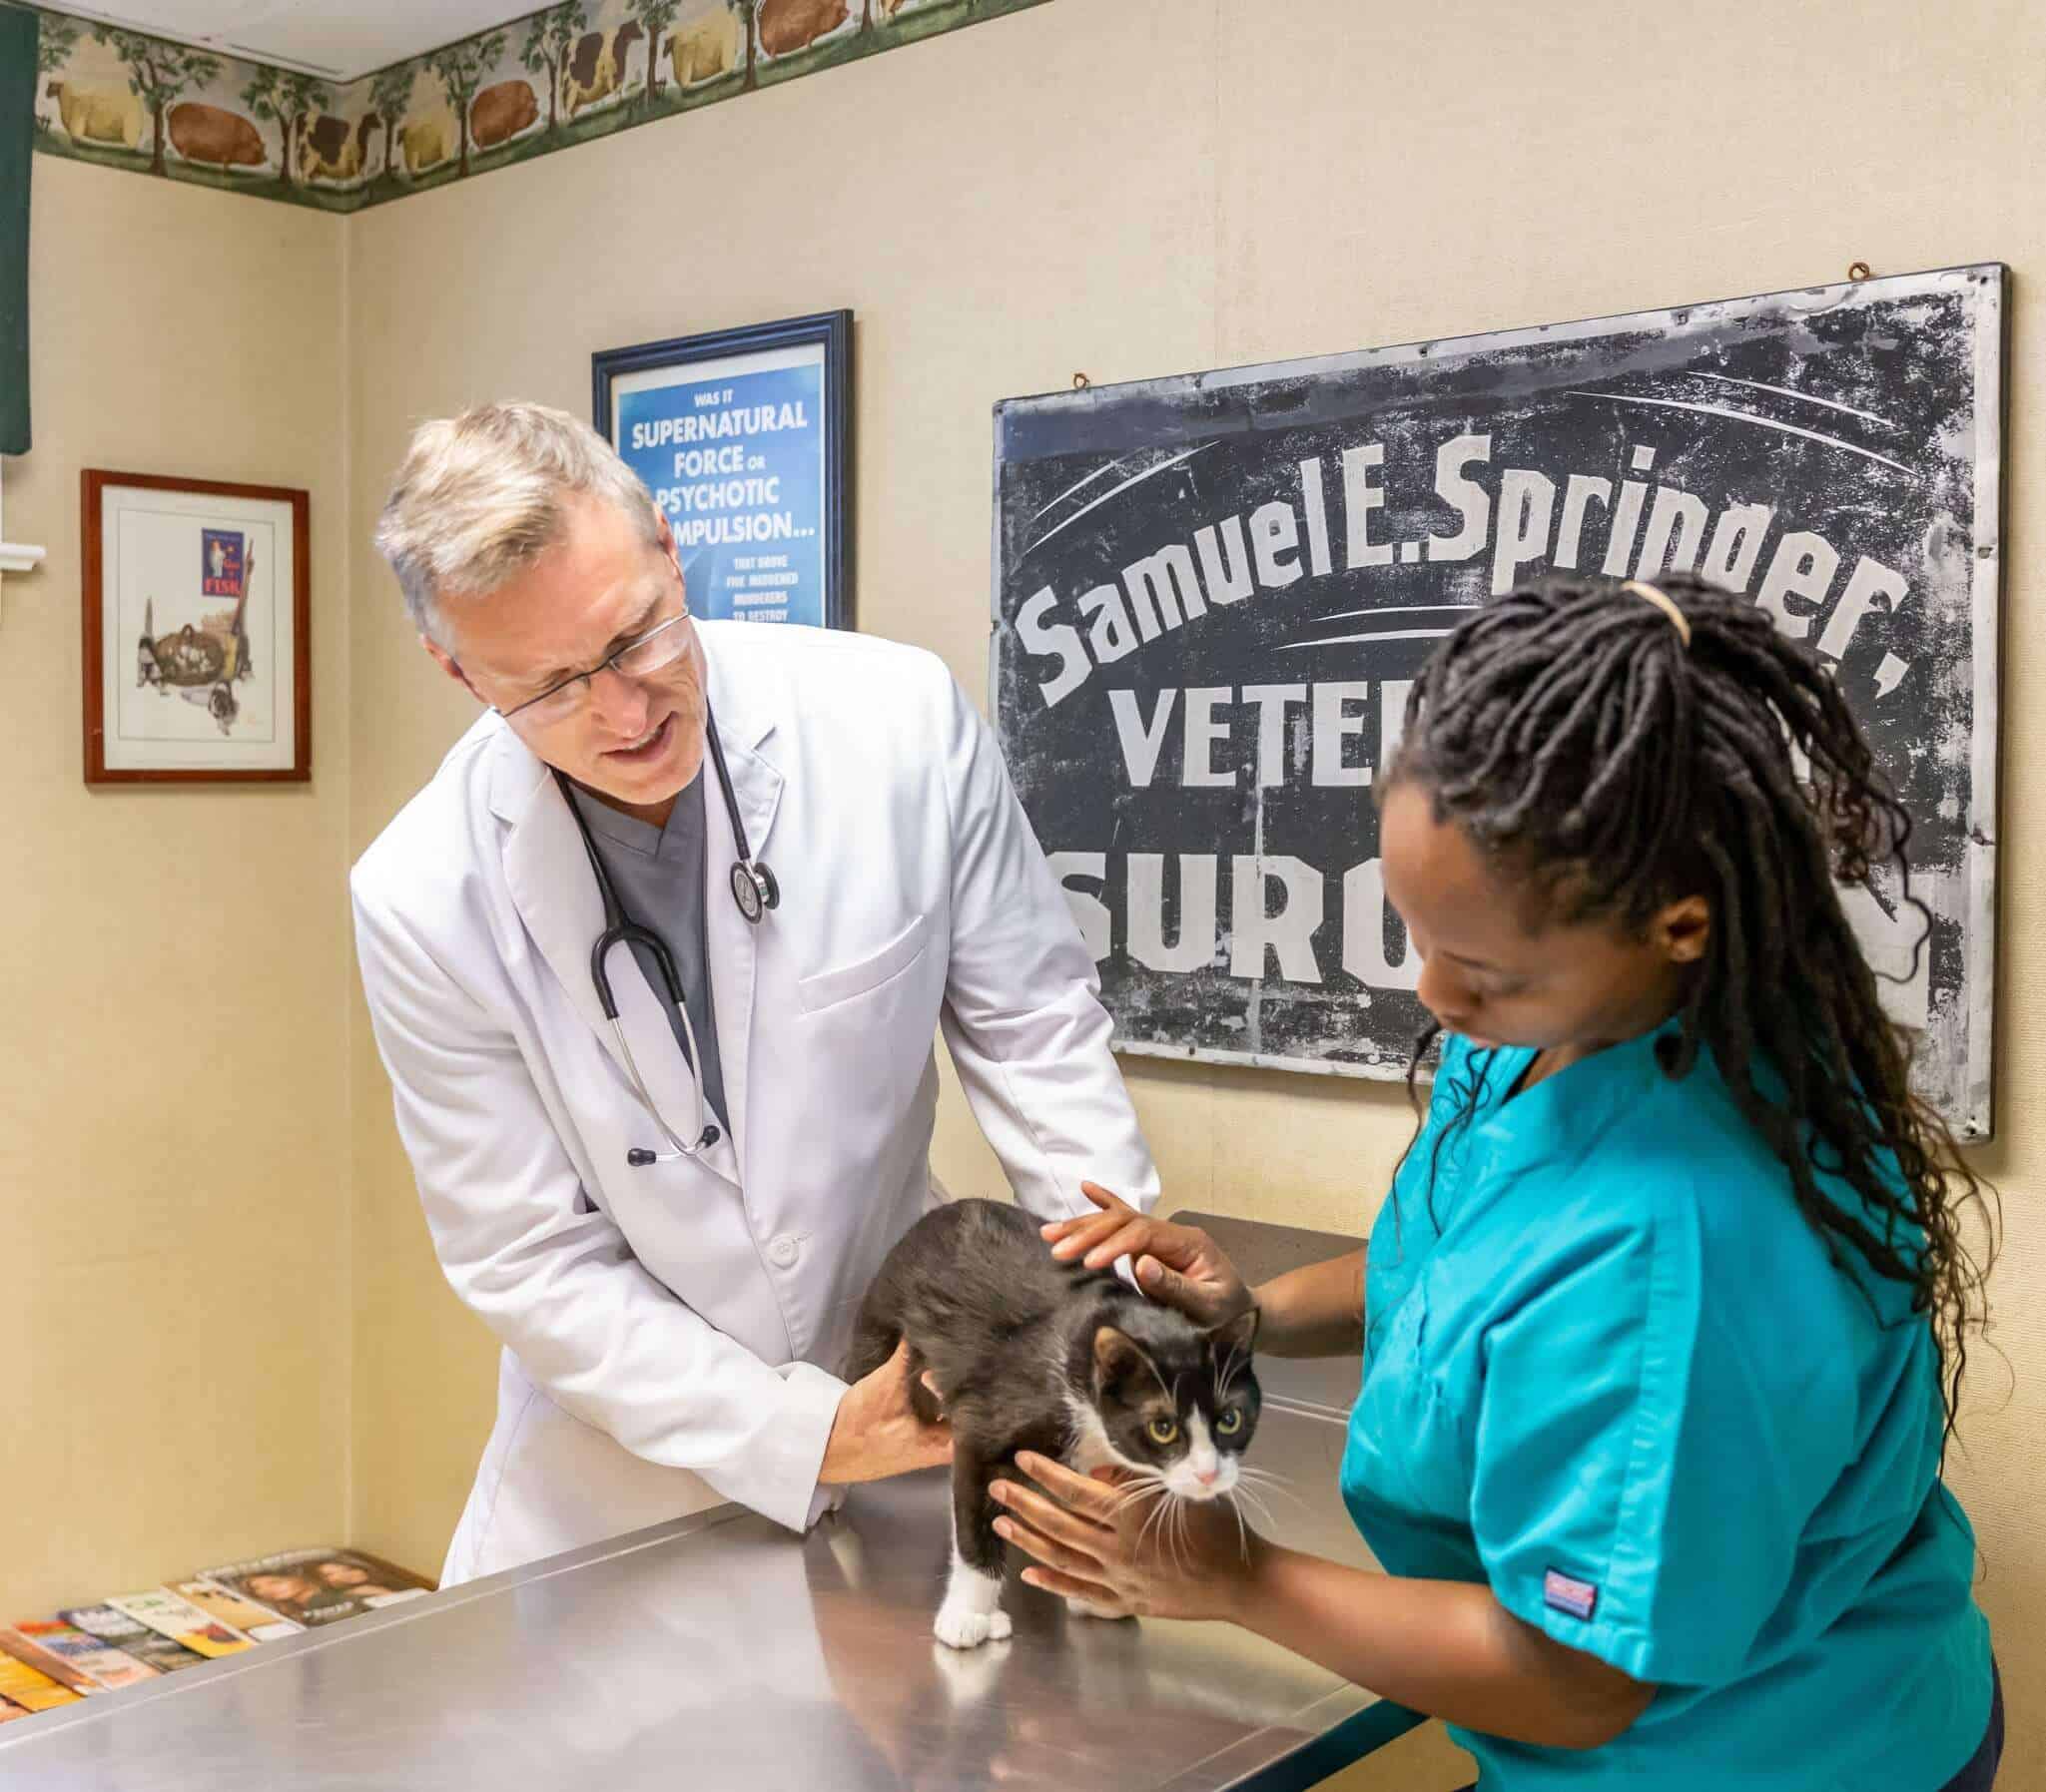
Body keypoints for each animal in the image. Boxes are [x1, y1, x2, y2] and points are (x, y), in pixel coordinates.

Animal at [839, 1194, 1251, 1644]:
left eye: (1231, 1419)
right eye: (1163, 1428)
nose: (1209, 1474)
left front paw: (1091, 1592)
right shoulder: (985, 1424)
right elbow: (974, 1520)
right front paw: (968, 1614)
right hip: (877, 1332)